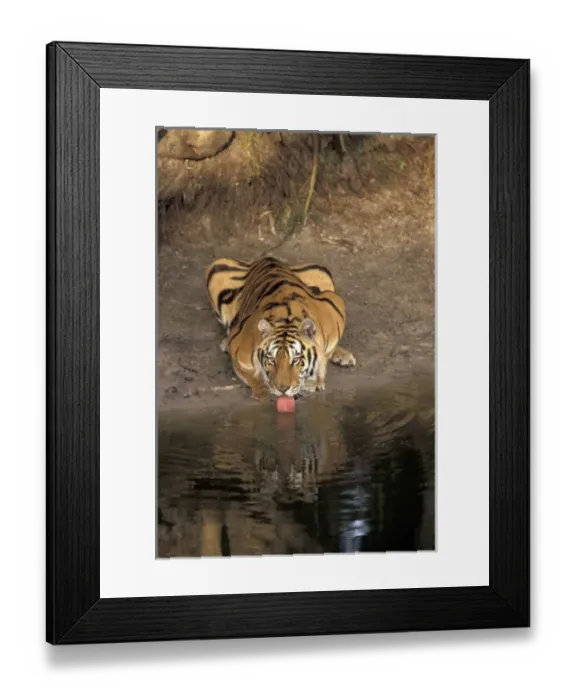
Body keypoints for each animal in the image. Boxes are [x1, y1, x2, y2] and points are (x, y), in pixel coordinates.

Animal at [205, 255, 356, 400]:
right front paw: (262, 392)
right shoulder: (238, 346)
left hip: (321, 271)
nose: (282, 389)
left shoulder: (335, 305)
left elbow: (325, 353)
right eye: (271, 359)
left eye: (296, 359)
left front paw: (314, 380)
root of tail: (267, 259)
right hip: (217, 268)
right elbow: (251, 374)